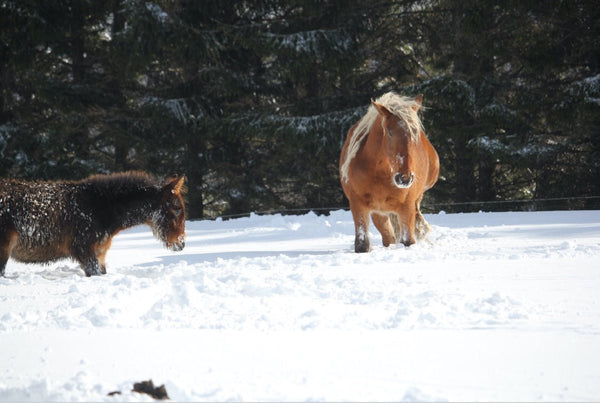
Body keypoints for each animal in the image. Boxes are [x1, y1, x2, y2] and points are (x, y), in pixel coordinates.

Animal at [340, 93, 438, 254]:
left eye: (415, 133)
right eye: (390, 131)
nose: (404, 178)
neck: (381, 174)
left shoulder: (407, 206)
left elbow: (408, 242)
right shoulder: (358, 204)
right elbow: (362, 245)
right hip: (379, 212)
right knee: (388, 238)